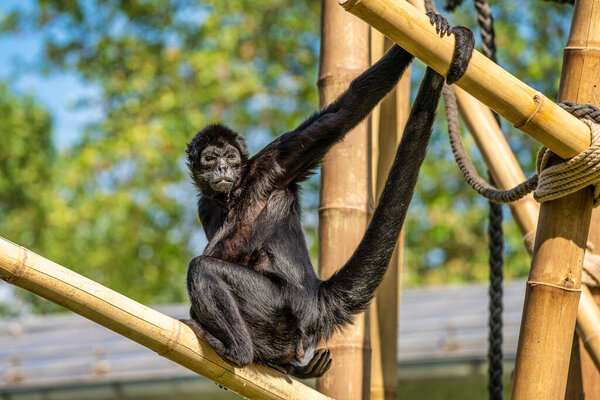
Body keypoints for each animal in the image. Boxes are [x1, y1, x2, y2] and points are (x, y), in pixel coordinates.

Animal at [183, 14, 474, 378]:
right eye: (211, 159)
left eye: (231, 158)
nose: (223, 167)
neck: (235, 191)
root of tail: (316, 299)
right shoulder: (205, 202)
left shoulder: (272, 163)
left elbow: (344, 112)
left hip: (280, 307)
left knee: (202, 268)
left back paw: (239, 351)